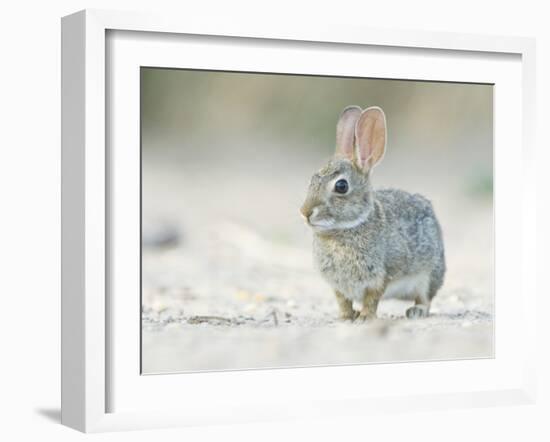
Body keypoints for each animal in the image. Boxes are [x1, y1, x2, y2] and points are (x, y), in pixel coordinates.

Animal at [300, 107, 446, 322]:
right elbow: (343, 301)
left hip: (428, 275)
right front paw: (346, 317)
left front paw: (365, 317)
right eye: (312, 180)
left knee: (425, 298)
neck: (346, 229)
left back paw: (416, 311)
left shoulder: (379, 277)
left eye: (341, 186)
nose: (305, 212)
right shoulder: (338, 286)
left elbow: (372, 299)